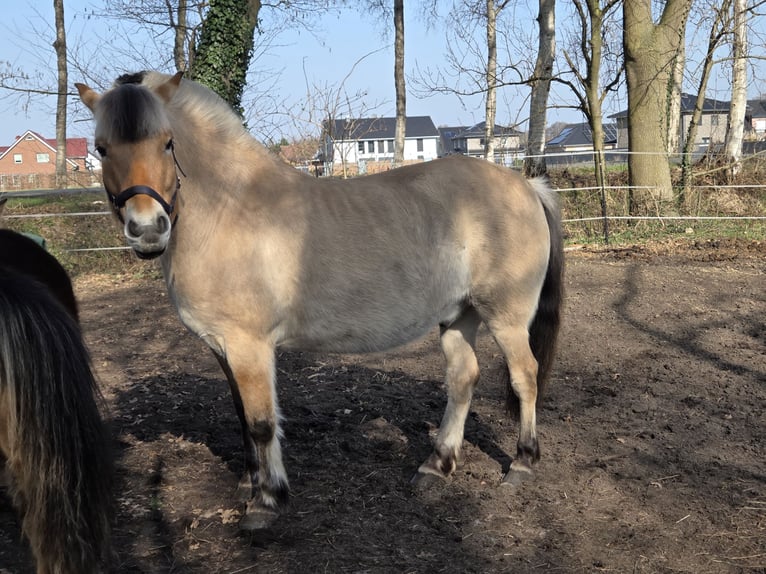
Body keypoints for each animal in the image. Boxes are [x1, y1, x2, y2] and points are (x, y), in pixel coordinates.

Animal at [76, 71, 564, 531]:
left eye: (167, 142)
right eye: (102, 148)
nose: (147, 230)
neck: (229, 211)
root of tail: (527, 186)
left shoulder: (249, 346)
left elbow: (261, 422)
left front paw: (267, 501)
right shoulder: (221, 347)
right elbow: (241, 417)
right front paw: (248, 484)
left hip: (505, 317)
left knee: (525, 376)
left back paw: (523, 461)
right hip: (459, 314)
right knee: (463, 380)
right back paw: (436, 466)